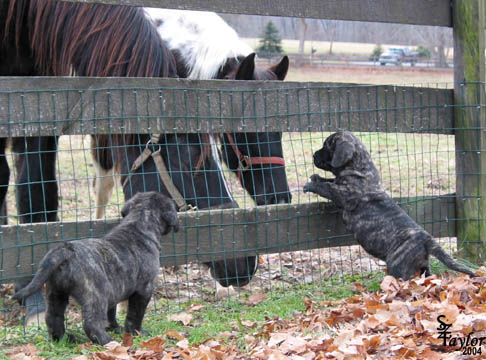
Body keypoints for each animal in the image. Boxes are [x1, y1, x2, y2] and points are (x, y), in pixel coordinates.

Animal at [12, 193, 178, 344]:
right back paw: (107, 341)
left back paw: (63, 339)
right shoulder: (144, 289)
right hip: (96, 294)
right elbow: (135, 314)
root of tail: (65, 250)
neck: (139, 223)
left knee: (53, 317)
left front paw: (114, 327)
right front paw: (136, 332)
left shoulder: (114, 291)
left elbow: (112, 312)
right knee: (91, 323)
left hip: (56, 293)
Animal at [304, 131, 474, 280]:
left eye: (327, 146)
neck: (359, 167)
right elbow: (330, 180)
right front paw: (316, 177)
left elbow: (328, 187)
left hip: (397, 265)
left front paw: (311, 185)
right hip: (422, 265)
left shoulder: (344, 194)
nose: (313, 155)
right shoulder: (339, 183)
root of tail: (427, 239)